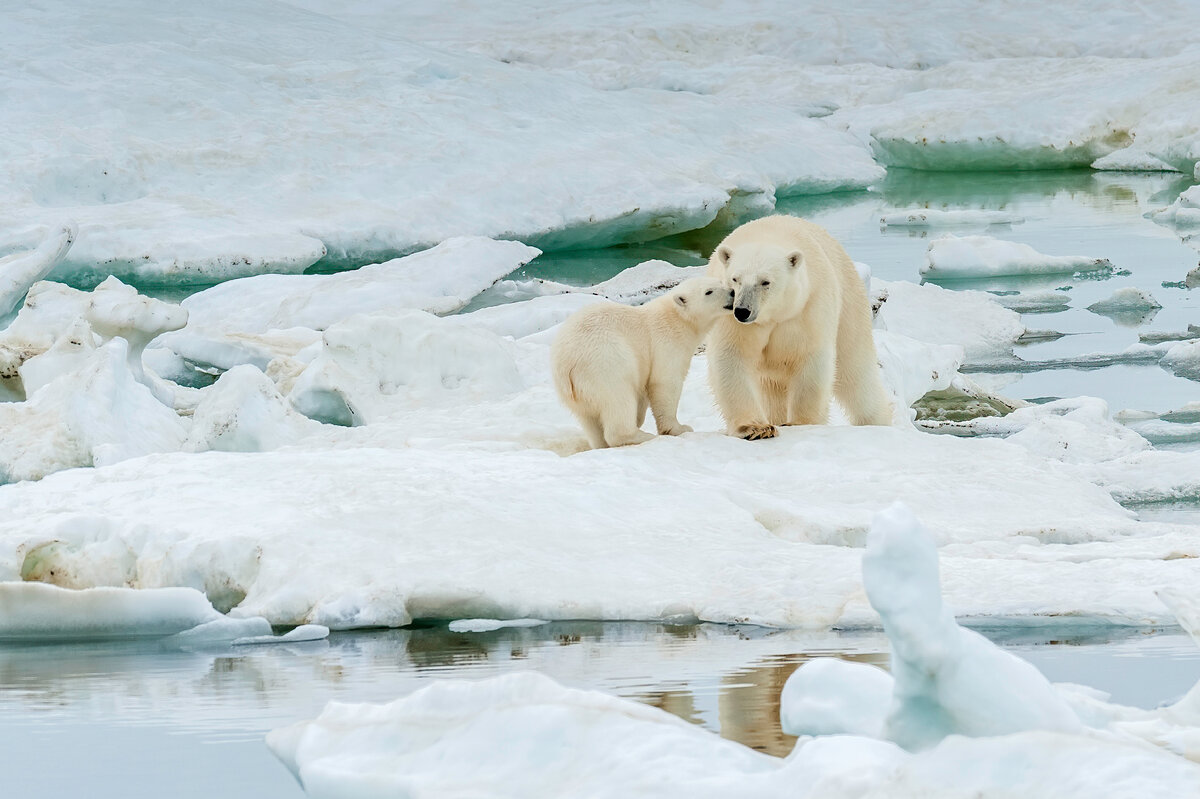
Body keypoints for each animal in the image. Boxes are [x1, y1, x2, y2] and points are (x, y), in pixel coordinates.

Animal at [700, 214, 892, 439]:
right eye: (735, 279)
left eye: (765, 282)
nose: (741, 311)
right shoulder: (731, 319)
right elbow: (731, 356)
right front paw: (756, 428)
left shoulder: (806, 308)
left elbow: (809, 359)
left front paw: (800, 422)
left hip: (849, 305)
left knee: (856, 371)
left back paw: (878, 421)